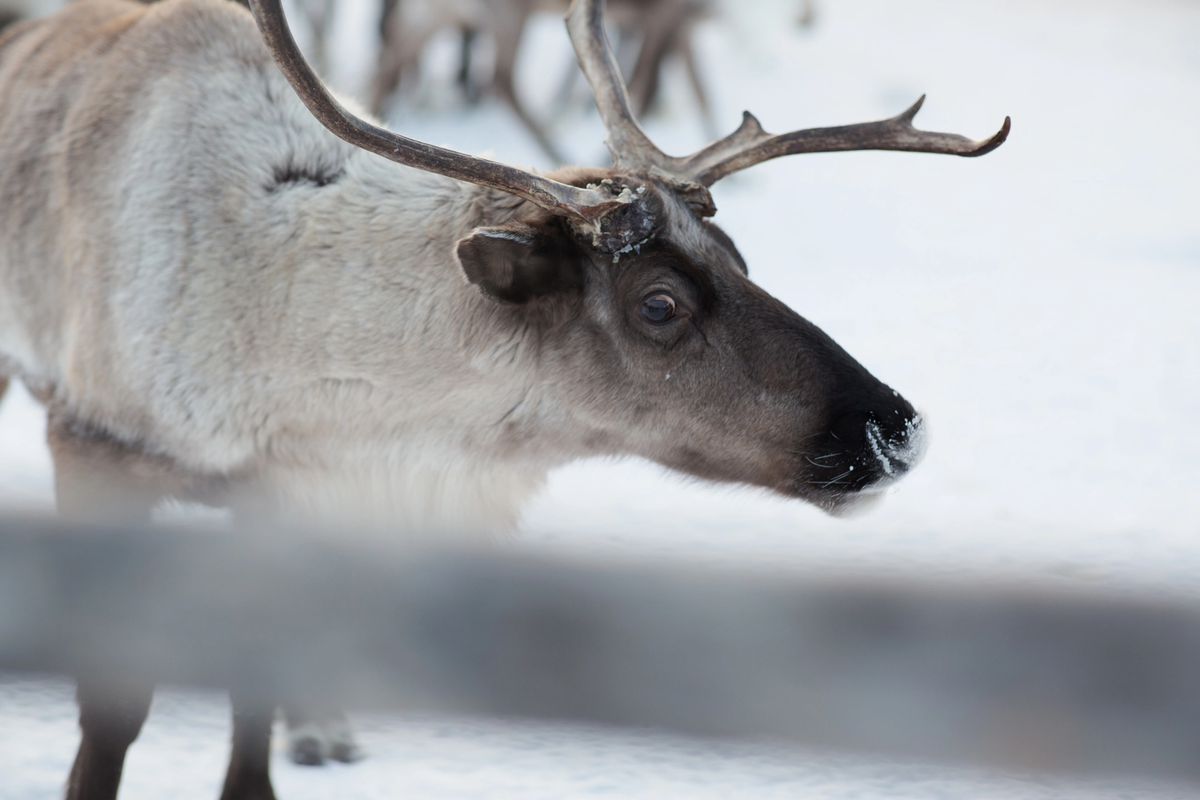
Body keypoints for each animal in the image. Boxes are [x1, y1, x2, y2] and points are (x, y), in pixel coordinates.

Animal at [0, 0, 1008, 795]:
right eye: (659, 304)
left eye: (740, 260)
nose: (892, 427)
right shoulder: (95, 447)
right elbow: (113, 714)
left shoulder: (286, 496)